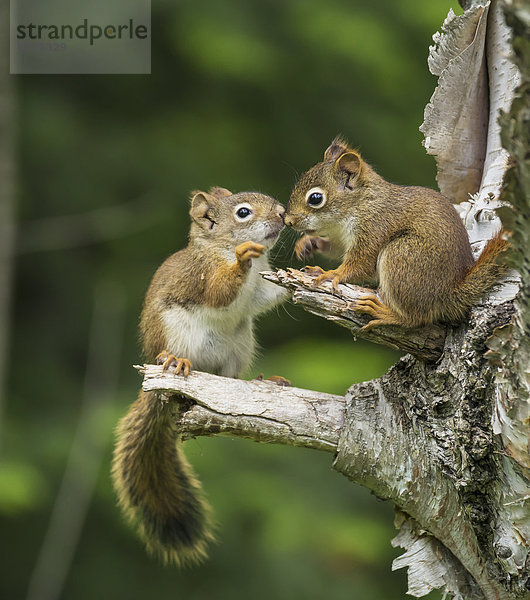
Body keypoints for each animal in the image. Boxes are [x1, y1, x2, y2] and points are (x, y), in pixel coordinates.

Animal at [109, 188, 286, 568]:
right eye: (243, 212)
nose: (282, 213)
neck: (218, 248)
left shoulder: (261, 288)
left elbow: (267, 298)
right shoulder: (202, 275)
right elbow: (220, 291)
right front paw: (242, 260)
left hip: (240, 344)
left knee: (230, 377)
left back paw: (260, 382)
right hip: (175, 333)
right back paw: (175, 362)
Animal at [282, 137, 506, 330]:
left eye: (315, 198)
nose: (288, 221)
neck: (361, 204)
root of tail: (449, 292)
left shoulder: (374, 227)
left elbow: (361, 264)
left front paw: (333, 273)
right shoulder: (342, 238)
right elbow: (335, 249)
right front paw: (308, 244)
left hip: (401, 255)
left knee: (417, 318)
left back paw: (383, 312)